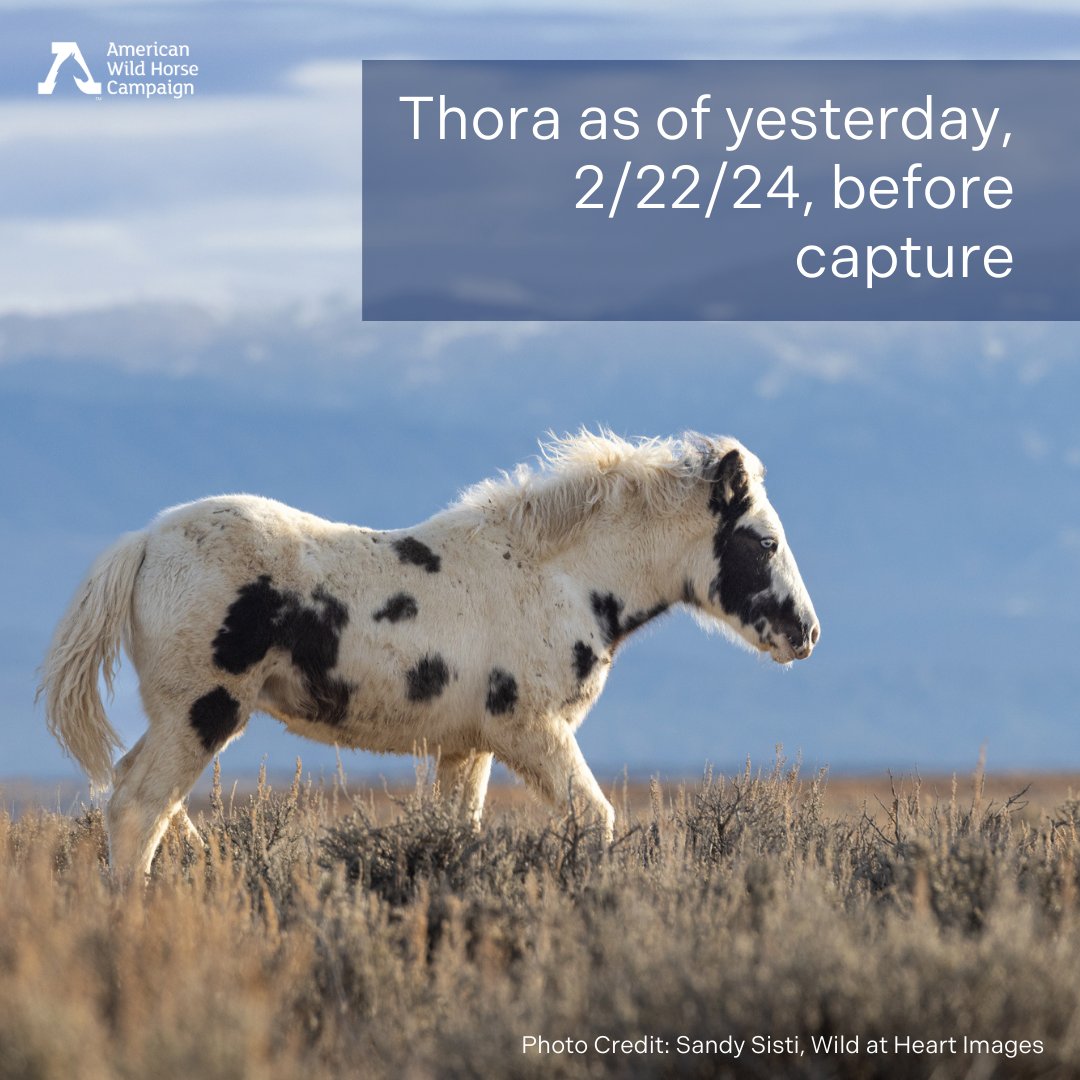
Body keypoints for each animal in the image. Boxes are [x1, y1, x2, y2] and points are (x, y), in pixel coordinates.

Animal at [39, 430, 820, 876]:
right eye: (765, 541)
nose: (806, 633)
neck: (558, 576)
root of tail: (145, 542)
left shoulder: (466, 747)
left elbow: (457, 832)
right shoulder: (531, 731)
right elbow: (595, 820)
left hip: (181, 716)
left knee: (139, 796)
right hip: (203, 709)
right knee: (138, 807)